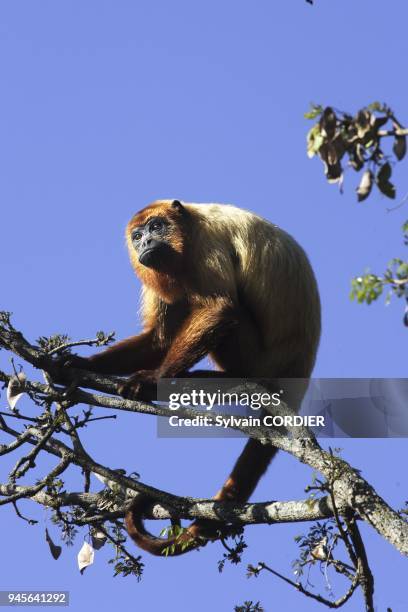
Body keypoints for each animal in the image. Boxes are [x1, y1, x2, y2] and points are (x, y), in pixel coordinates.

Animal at [68, 200, 320, 556]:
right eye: (137, 235)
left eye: (156, 227)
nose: (145, 243)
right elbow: (159, 339)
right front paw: (73, 364)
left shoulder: (205, 244)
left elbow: (219, 309)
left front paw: (151, 381)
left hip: (263, 362)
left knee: (228, 309)